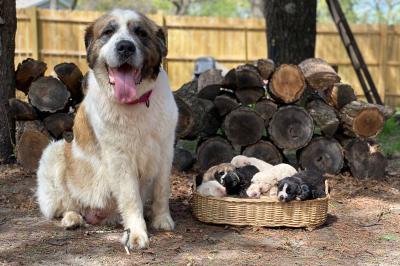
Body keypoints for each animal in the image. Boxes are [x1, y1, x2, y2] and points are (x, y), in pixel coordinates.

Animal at [36, 7, 177, 249]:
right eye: (108, 32)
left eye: (140, 33)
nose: (125, 46)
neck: (136, 103)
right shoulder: (120, 158)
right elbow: (130, 196)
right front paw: (136, 233)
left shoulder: (165, 150)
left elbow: (162, 188)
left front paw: (161, 219)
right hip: (54, 152)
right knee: (65, 205)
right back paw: (72, 218)